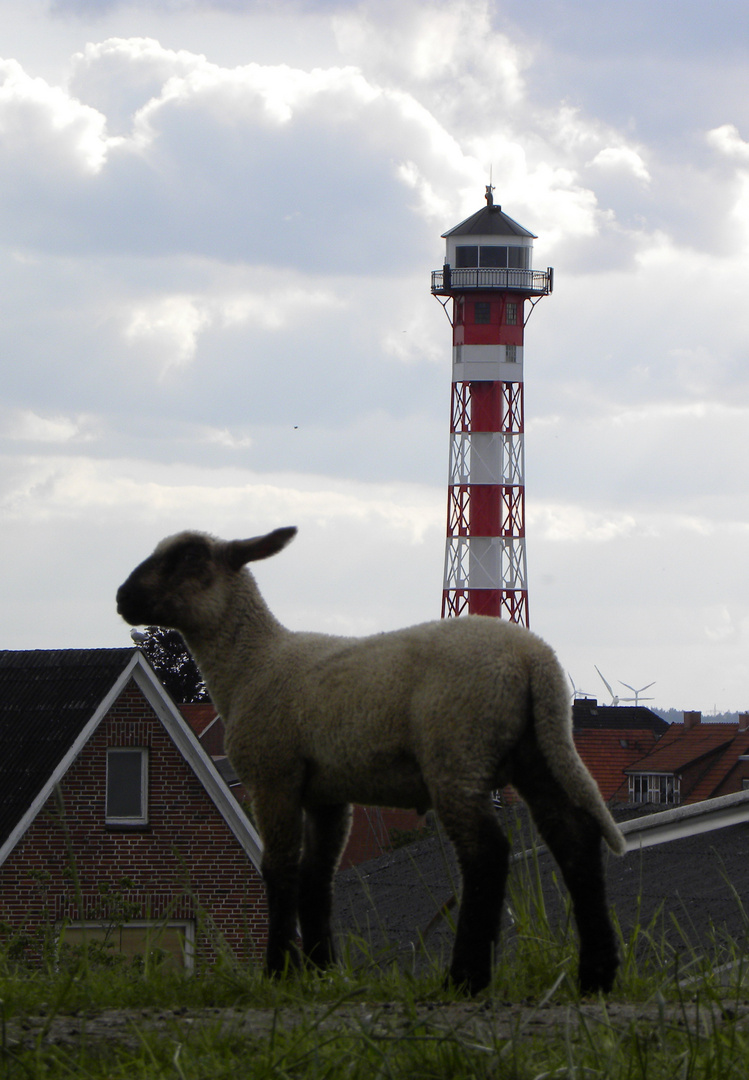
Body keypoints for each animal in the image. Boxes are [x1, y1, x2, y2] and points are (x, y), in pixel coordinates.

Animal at [117, 524, 630, 993]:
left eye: (187, 558)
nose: (122, 597)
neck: (252, 663)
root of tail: (535, 659)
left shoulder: (273, 774)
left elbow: (280, 870)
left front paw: (278, 972)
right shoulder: (326, 793)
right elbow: (316, 877)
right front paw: (322, 971)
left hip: (456, 750)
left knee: (487, 853)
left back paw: (465, 978)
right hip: (534, 751)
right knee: (574, 839)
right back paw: (596, 975)